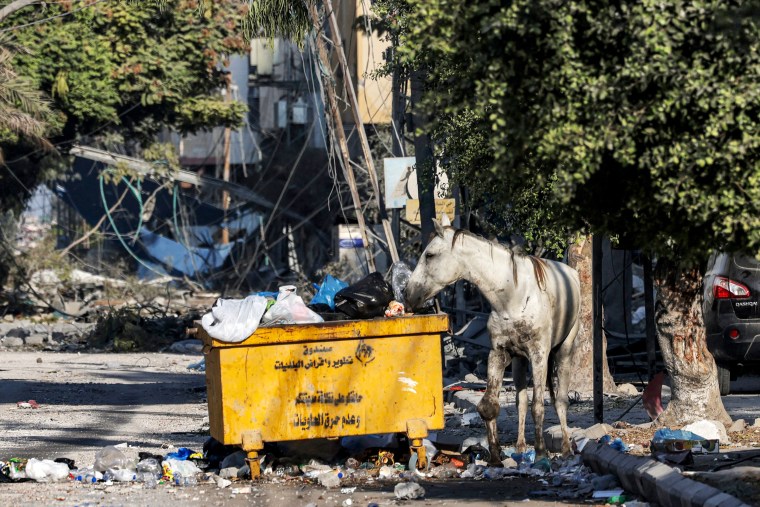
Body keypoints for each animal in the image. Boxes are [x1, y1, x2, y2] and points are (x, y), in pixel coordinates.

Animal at [406, 216, 580, 462]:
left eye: (429, 255)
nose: (407, 294)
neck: (513, 296)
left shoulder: (539, 354)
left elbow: (538, 406)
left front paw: (541, 453)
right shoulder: (499, 353)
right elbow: (489, 405)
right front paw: (496, 456)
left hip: (563, 352)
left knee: (561, 400)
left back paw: (565, 449)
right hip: (519, 361)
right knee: (521, 401)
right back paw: (520, 447)